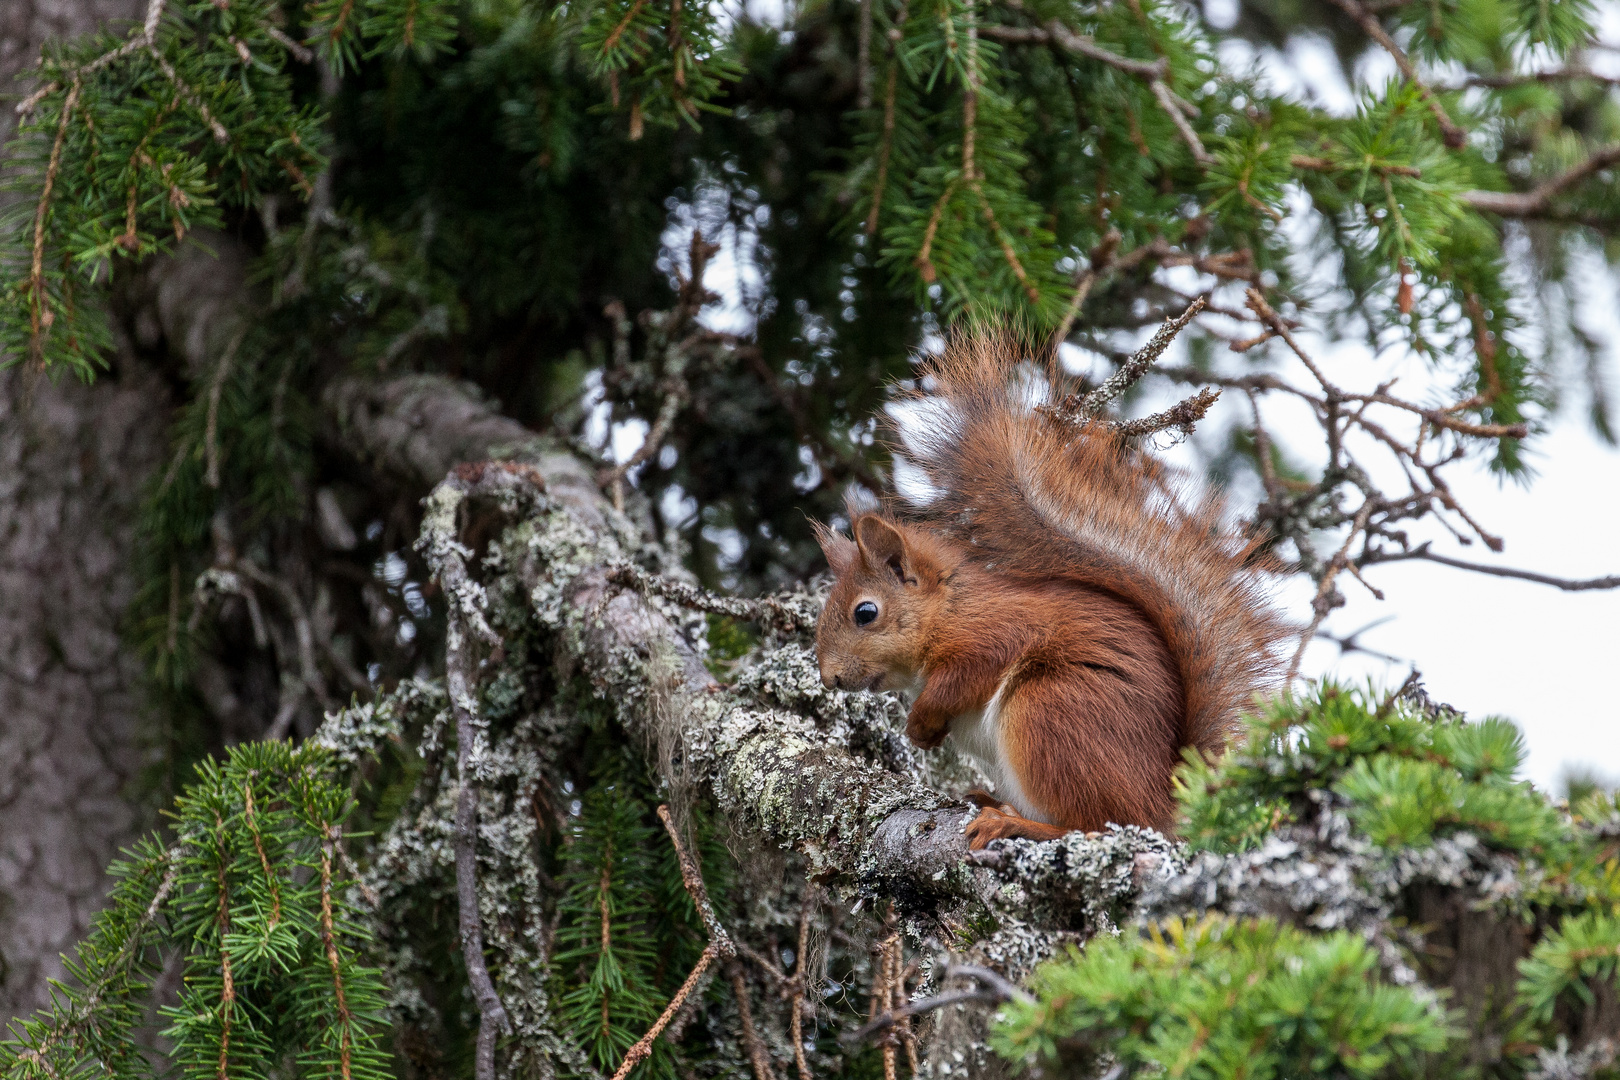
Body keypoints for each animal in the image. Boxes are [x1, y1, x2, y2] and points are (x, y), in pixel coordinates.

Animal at [810, 338, 1289, 854]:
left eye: (865, 613)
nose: (829, 678)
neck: (949, 608)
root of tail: (1164, 805)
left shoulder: (995, 628)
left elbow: (967, 672)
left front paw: (919, 724)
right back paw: (993, 801)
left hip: (1049, 713)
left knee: (1096, 824)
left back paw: (1012, 824)